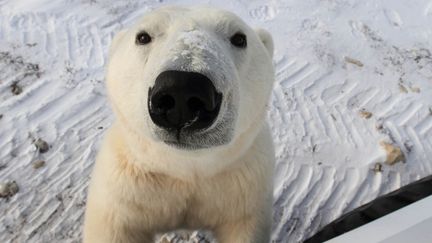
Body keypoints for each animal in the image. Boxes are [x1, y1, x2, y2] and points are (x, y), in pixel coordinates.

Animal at [82, 6, 276, 243]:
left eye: (239, 38)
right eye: (143, 36)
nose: (182, 90)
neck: (184, 166)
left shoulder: (243, 188)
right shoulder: (128, 193)